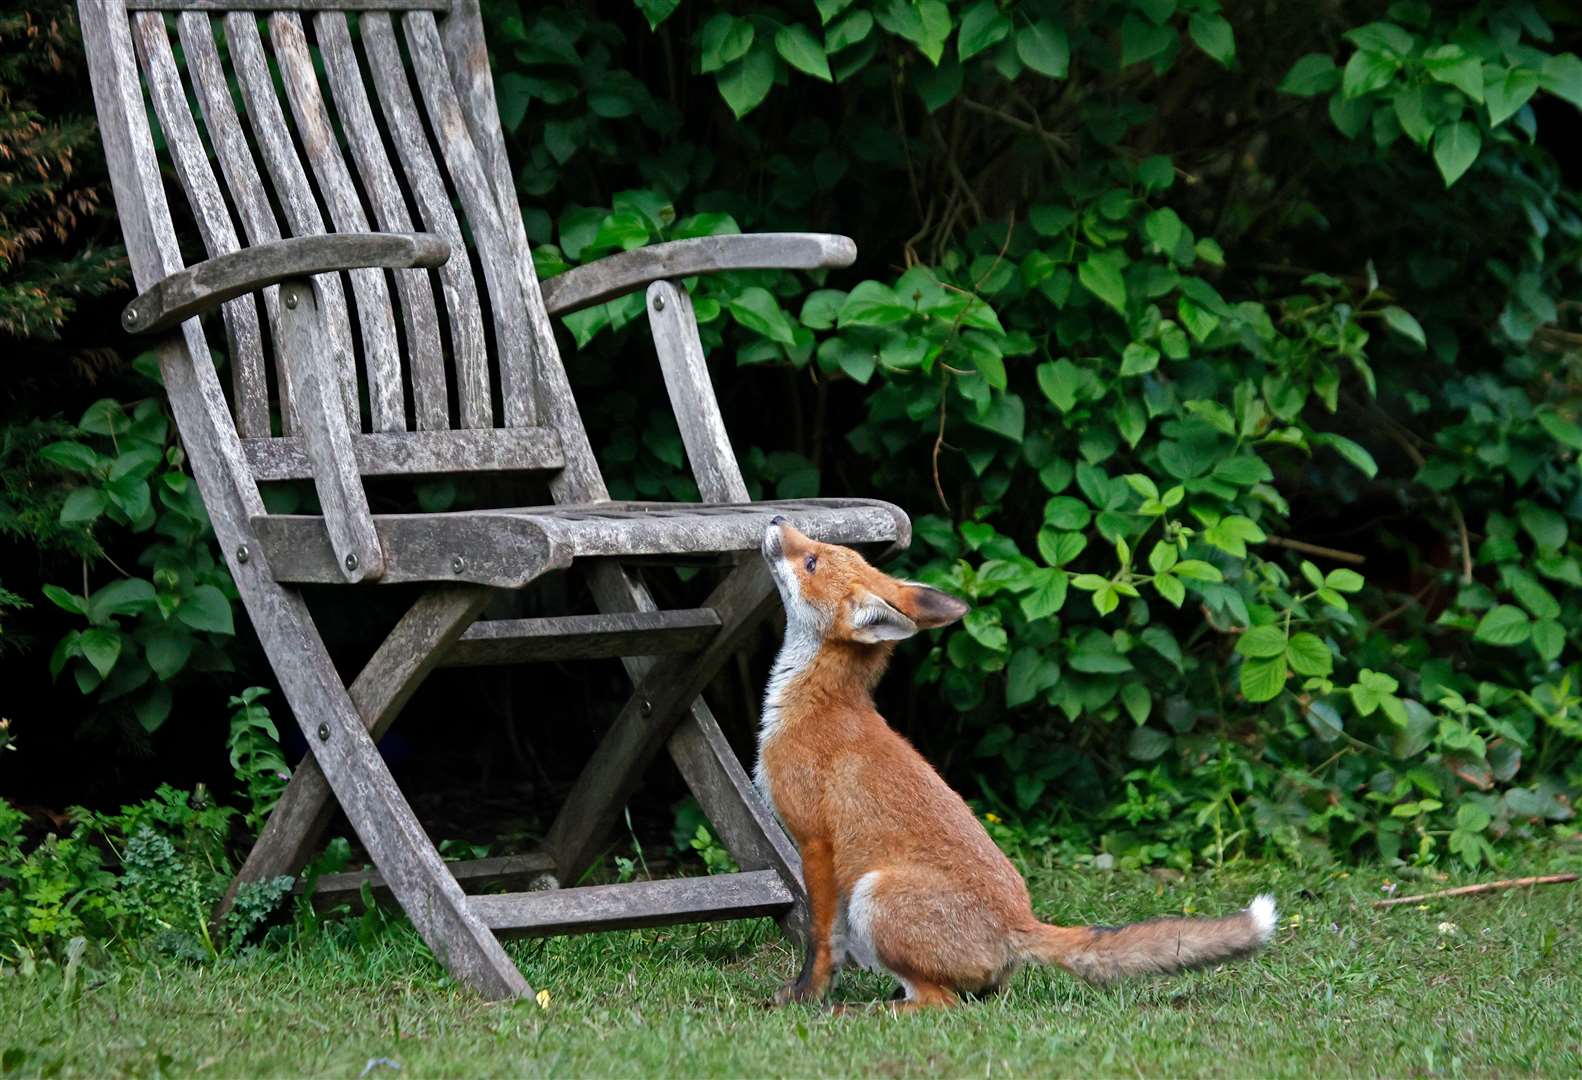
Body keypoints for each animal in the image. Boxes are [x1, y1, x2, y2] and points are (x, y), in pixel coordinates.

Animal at [753, 518, 1271, 1012]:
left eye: (812, 561)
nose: (776, 518)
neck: (815, 704)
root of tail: (1020, 923)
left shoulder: (815, 843)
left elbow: (821, 940)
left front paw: (804, 998)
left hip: (873, 894)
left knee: (939, 1004)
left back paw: (859, 1012)